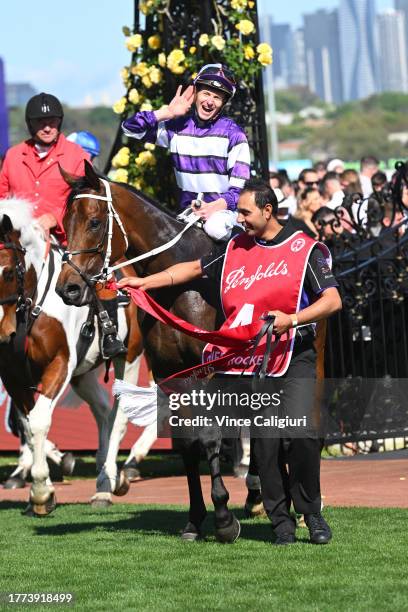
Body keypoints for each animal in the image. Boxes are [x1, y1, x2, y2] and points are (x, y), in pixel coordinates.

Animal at [0, 198, 147, 512]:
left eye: (7, 272)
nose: (2, 333)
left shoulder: (60, 365)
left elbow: (39, 420)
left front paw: (41, 491)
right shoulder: (14, 377)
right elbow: (28, 426)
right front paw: (44, 486)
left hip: (129, 358)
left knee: (119, 417)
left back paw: (108, 484)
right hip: (84, 374)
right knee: (103, 410)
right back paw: (106, 474)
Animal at [56, 161, 242, 540]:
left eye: (94, 222)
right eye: (65, 222)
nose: (69, 288)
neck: (180, 285)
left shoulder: (208, 372)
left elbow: (210, 436)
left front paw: (224, 517)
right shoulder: (170, 373)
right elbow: (187, 443)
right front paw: (194, 519)